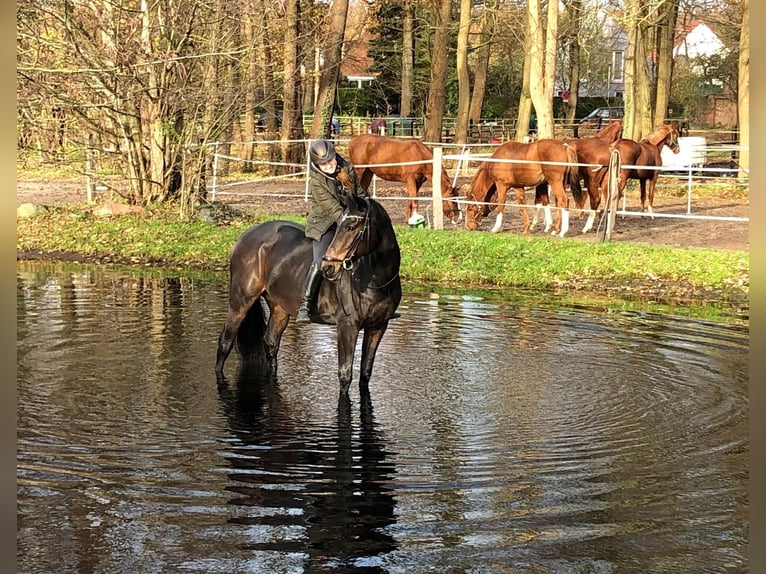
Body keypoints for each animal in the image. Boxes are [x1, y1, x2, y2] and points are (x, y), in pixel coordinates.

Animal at [216, 197, 402, 396]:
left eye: (351, 227)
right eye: (340, 226)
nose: (329, 267)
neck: (376, 277)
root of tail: (245, 236)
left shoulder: (378, 326)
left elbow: (366, 373)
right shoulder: (347, 327)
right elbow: (345, 375)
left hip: (279, 309)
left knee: (271, 343)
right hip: (240, 303)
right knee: (225, 343)